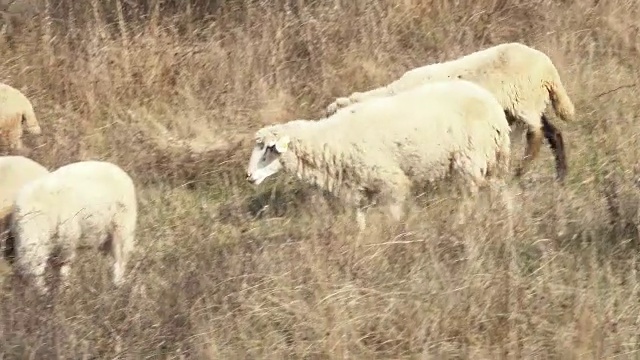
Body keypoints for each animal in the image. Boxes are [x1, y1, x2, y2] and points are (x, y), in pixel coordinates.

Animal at [7, 160, 139, 296]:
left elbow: (62, 267)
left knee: (120, 260)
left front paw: (62, 289)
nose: (40, 296)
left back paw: (118, 284)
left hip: (122, 227)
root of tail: (116, 168)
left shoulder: (67, 240)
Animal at [246, 78, 516, 233]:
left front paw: (395, 240)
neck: (332, 139)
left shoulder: (391, 181)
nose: (248, 176)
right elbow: (360, 220)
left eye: (268, 149)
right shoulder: (358, 187)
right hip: (494, 158)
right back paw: (506, 218)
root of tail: (492, 105)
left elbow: (393, 216)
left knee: (468, 197)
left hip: (470, 158)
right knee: (500, 190)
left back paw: (460, 225)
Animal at [328, 42, 576, 183]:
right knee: (553, 133)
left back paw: (520, 172)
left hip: (522, 100)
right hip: (530, 103)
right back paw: (561, 175)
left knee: (536, 135)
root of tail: (547, 67)